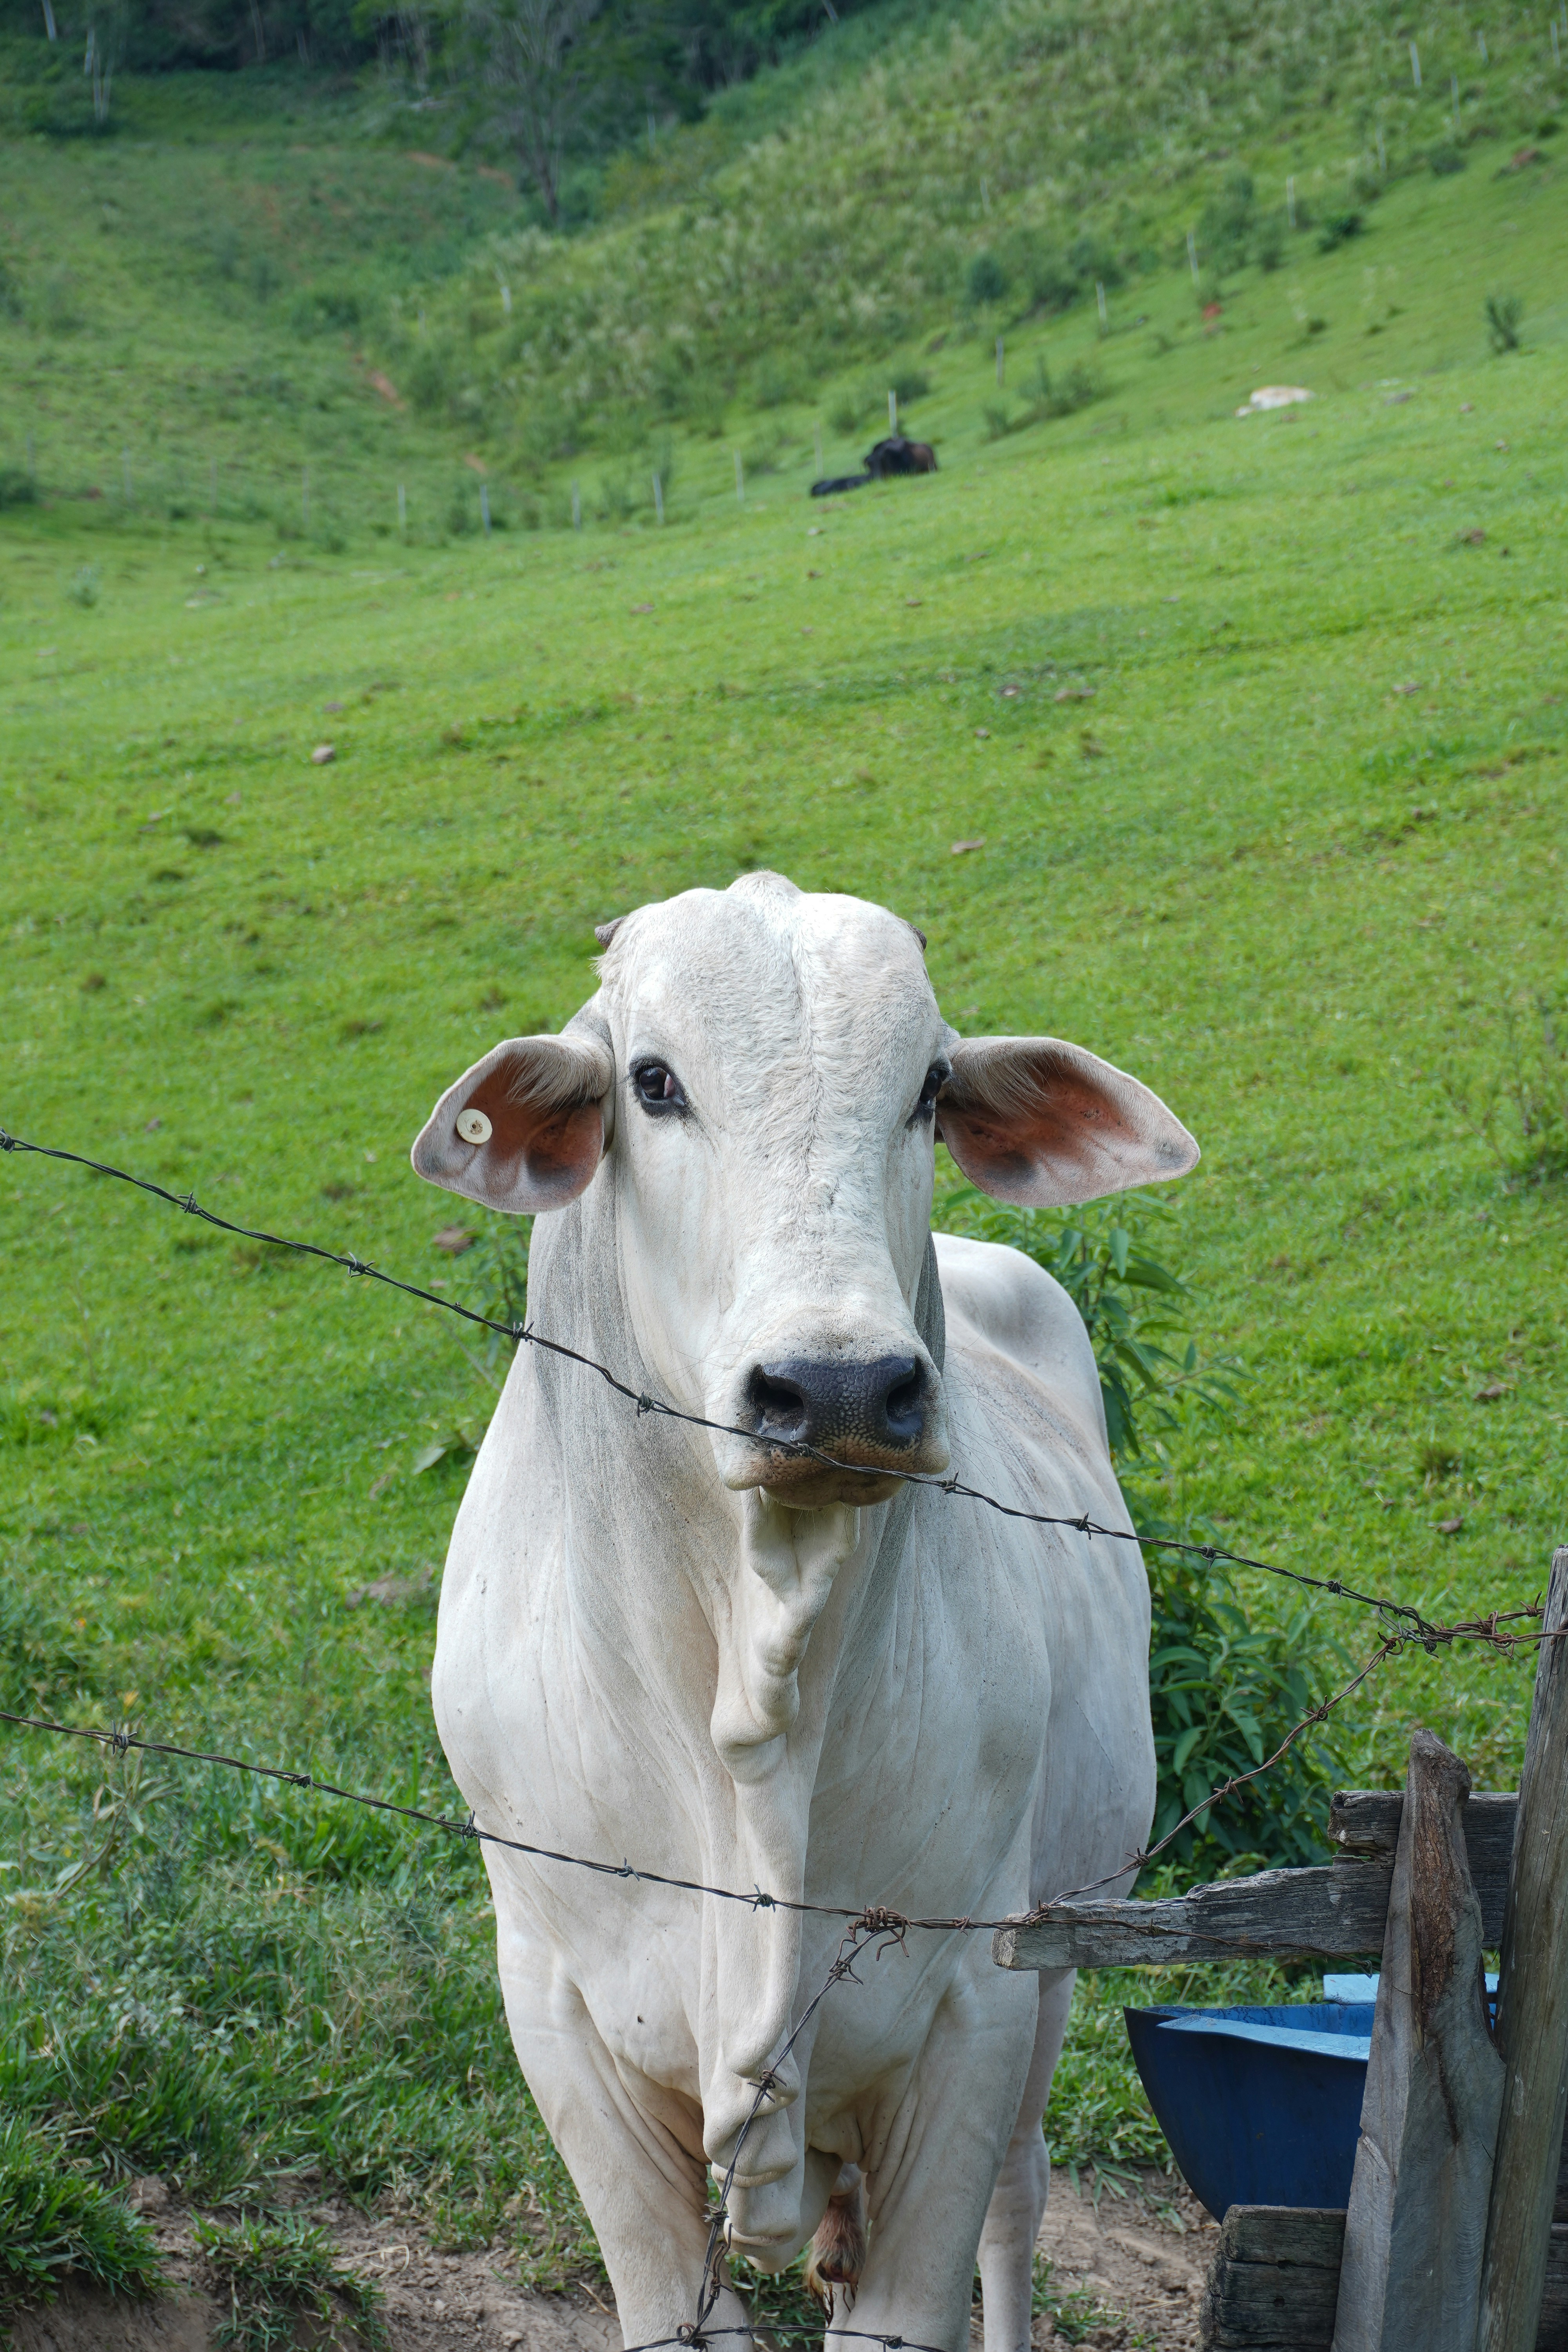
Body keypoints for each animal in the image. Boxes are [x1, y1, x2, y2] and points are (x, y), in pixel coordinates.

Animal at [410, 875, 1198, 2352]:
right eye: (653, 1081)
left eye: (930, 1086)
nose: (837, 1389)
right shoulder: (559, 2014)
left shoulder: (975, 2001)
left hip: (1060, 1960)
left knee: (1019, 2196)